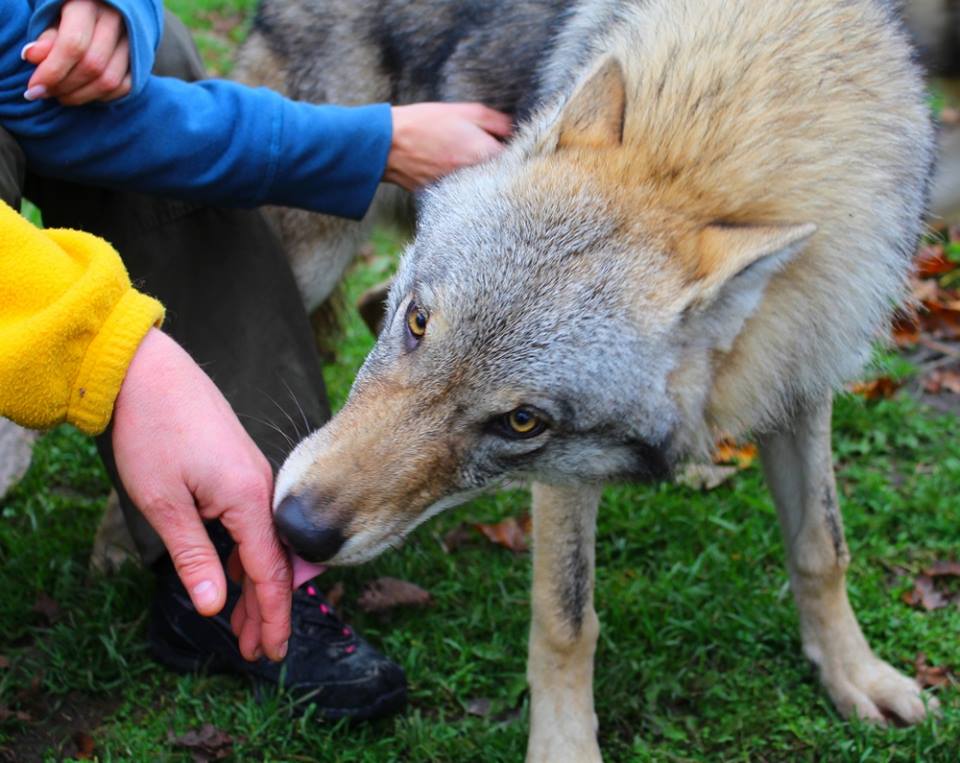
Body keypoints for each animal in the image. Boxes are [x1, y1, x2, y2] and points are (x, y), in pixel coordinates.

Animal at [236, 0, 932, 760]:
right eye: (419, 323)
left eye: (522, 421)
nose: (296, 529)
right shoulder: (568, 480)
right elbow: (567, 619)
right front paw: (564, 746)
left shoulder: (801, 375)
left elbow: (824, 548)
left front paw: (854, 672)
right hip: (310, 257)